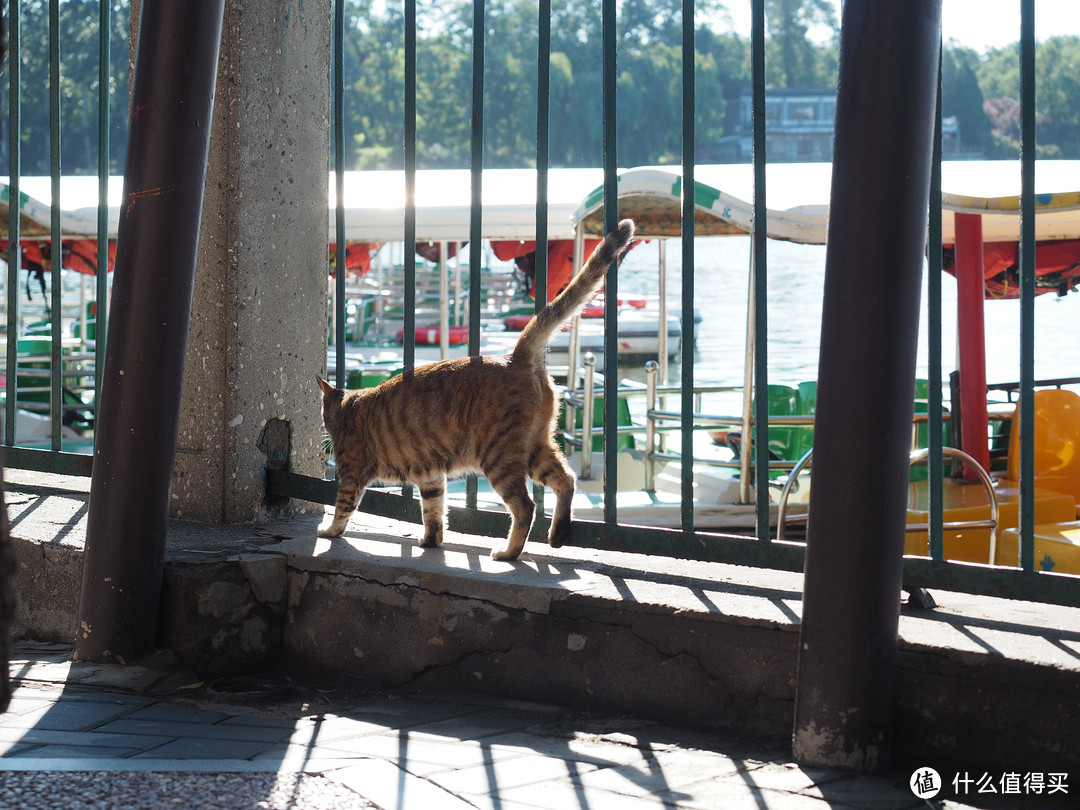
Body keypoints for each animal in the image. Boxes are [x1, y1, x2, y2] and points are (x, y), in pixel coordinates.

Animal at [315, 219, 630, 561]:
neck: (348, 406)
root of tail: (515, 357)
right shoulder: (431, 476)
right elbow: (434, 512)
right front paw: (431, 541)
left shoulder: (351, 473)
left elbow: (342, 508)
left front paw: (329, 531)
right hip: (535, 446)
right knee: (566, 479)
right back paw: (557, 534)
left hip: (499, 456)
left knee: (527, 506)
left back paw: (508, 552)